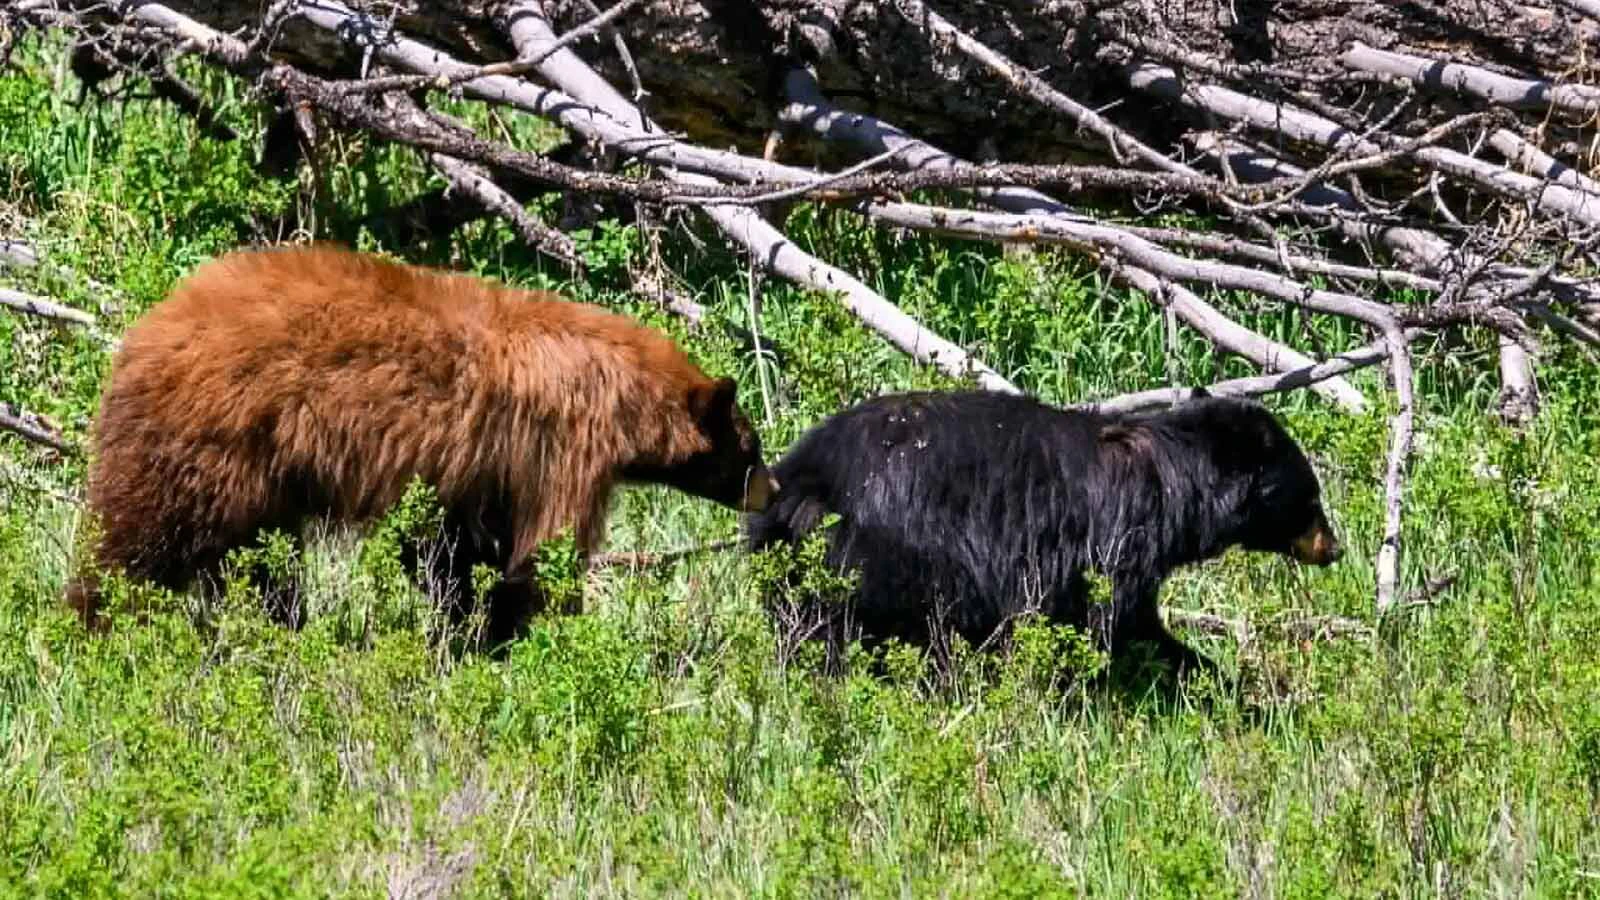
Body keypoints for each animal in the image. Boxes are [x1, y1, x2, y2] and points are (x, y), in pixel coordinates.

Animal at [66, 244, 776, 642]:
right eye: (752, 447)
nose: (770, 492)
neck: (623, 388)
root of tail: (146, 330)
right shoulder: (564, 447)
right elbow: (540, 550)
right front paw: (531, 632)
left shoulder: (480, 470)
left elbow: (456, 546)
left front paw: (469, 623)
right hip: (210, 441)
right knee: (143, 538)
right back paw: (97, 622)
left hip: (263, 475)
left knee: (260, 557)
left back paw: (282, 622)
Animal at [745, 390, 1341, 678]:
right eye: (1311, 498)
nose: (1334, 548)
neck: (1172, 480)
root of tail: (809, 478)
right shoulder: (1115, 545)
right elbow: (1113, 622)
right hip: (895, 554)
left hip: (790, 558)